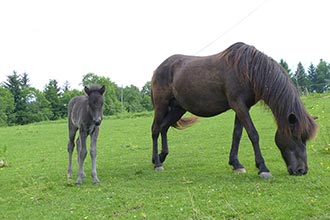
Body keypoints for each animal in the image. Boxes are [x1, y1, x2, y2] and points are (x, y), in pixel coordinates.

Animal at [151, 42, 318, 178]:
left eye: (305, 138)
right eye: (296, 136)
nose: (302, 170)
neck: (249, 70)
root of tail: (159, 68)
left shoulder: (242, 107)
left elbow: (237, 134)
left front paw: (236, 164)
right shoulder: (239, 105)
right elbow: (253, 134)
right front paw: (263, 168)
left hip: (178, 108)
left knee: (164, 127)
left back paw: (160, 157)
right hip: (161, 105)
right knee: (155, 129)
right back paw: (157, 164)